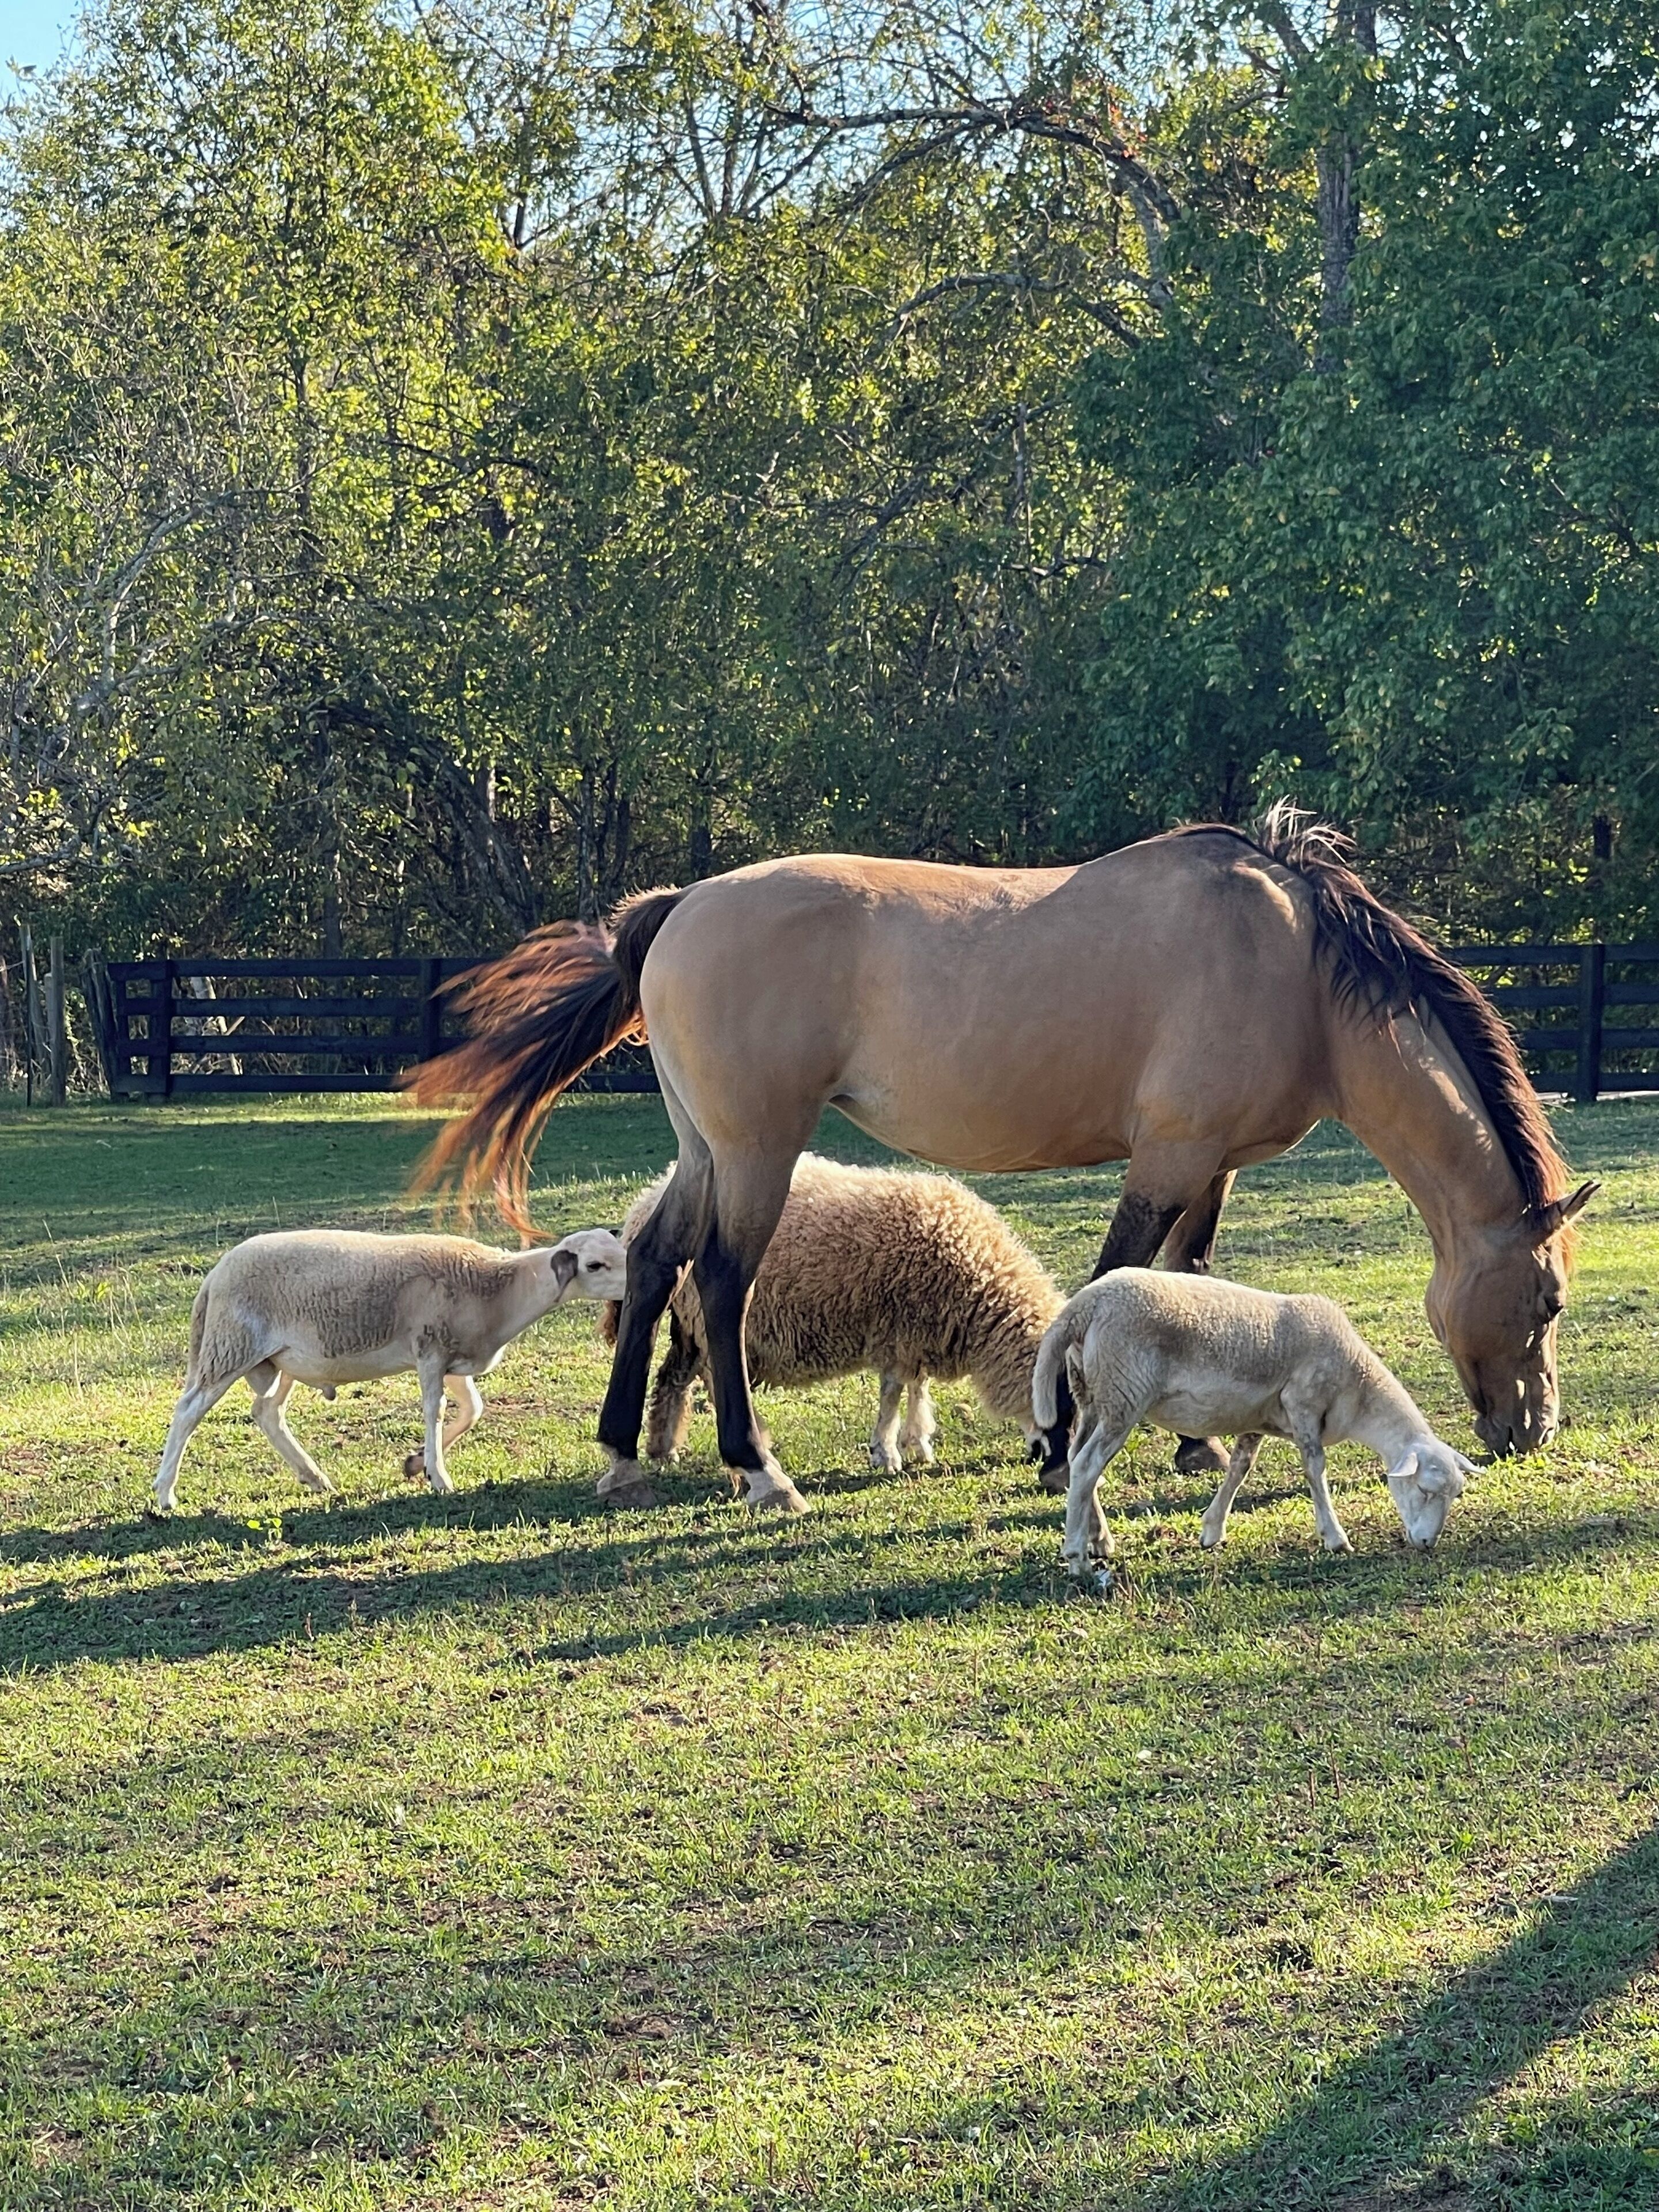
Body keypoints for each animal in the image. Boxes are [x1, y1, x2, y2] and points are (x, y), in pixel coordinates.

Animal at [154, 1224, 628, 1510]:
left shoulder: (454, 1360)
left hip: (280, 1360)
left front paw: (417, 1463)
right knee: (188, 1411)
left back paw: (314, 1476)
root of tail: (214, 1275)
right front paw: (439, 1477)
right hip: (230, 1347)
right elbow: (435, 1411)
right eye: (595, 1265)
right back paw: (165, 1494)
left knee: (267, 1413)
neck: (500, 1286)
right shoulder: (430, 1349)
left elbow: (473, 1410)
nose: (638, 1283)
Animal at [599, 1153, 1064, 1507]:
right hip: (705, 1319)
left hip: (687, 1323)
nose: (1045, 1466)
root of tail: (644, 1202)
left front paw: (917, 1443)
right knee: (713, 1382)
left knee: (673, 1378)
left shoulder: (914, 1332)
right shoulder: (898, 1326)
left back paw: (664, 1449)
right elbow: (893, 1392)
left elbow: (917, 1388)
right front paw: (887, 1451)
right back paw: (754, 1458)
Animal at [1032, 1268, 1474, 1588]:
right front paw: (1335, 1538)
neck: (1358, 1386)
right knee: (1088, 1465)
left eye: (1455, 1495)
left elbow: (1240, 1468)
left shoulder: (1259, 1419)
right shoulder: (1303, 1404)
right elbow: (1315, 1469)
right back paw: (1078, 1558)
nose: (1427, 1544)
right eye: (1424, 1489)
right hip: (1124, 1393)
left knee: (1078, 1460)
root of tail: (1084, 1305)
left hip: (1094, 1395)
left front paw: (1212, 1530)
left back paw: (1099, 1540)